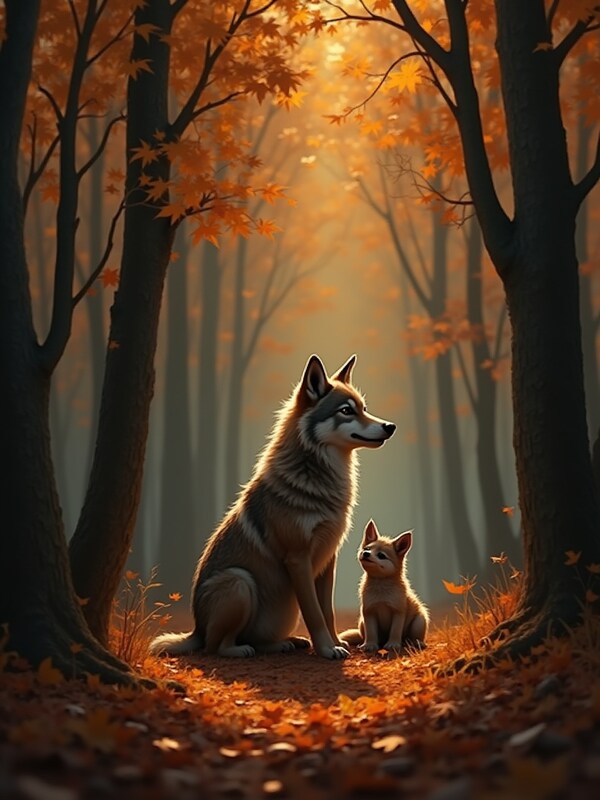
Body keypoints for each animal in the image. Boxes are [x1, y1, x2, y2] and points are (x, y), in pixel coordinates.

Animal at [149, 354, 396, 660]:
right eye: (346, 411)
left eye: (364, 409)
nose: (390, 426)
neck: (321, 480)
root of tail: (196, 629)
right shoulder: (298, 558)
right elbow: (314, 613)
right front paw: (327, 649)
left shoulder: (329, 558)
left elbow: (327, 611)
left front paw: (336, 642)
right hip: (239, 581)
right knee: (215, 646)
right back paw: (240, 650)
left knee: (255, 640)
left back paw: (287, 643)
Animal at [341, 519, 429, 653]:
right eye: (367, 548)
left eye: (381, 555)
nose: (365, 553)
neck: (381, 587)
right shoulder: (369, 612)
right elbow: (371, 633)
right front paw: (370, 645)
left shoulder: (398, 612)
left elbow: (395, 631)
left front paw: (393, 644)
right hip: (362, 623)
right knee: (369, 637)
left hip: (420, 621)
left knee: (413, 637)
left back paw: (415, 643)